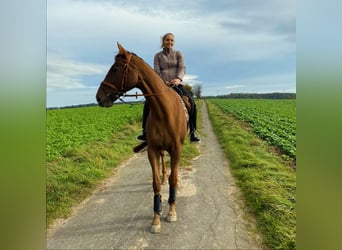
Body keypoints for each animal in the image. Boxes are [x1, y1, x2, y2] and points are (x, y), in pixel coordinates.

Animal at [95, 42, 187, 232]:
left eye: (115, 69)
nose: (99, 97)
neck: (164, 111)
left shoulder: (176, 149)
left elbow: (174, 179)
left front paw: (171, 212)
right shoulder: (152, 149)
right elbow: (156, 183)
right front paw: (156, 218)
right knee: (163, 162)